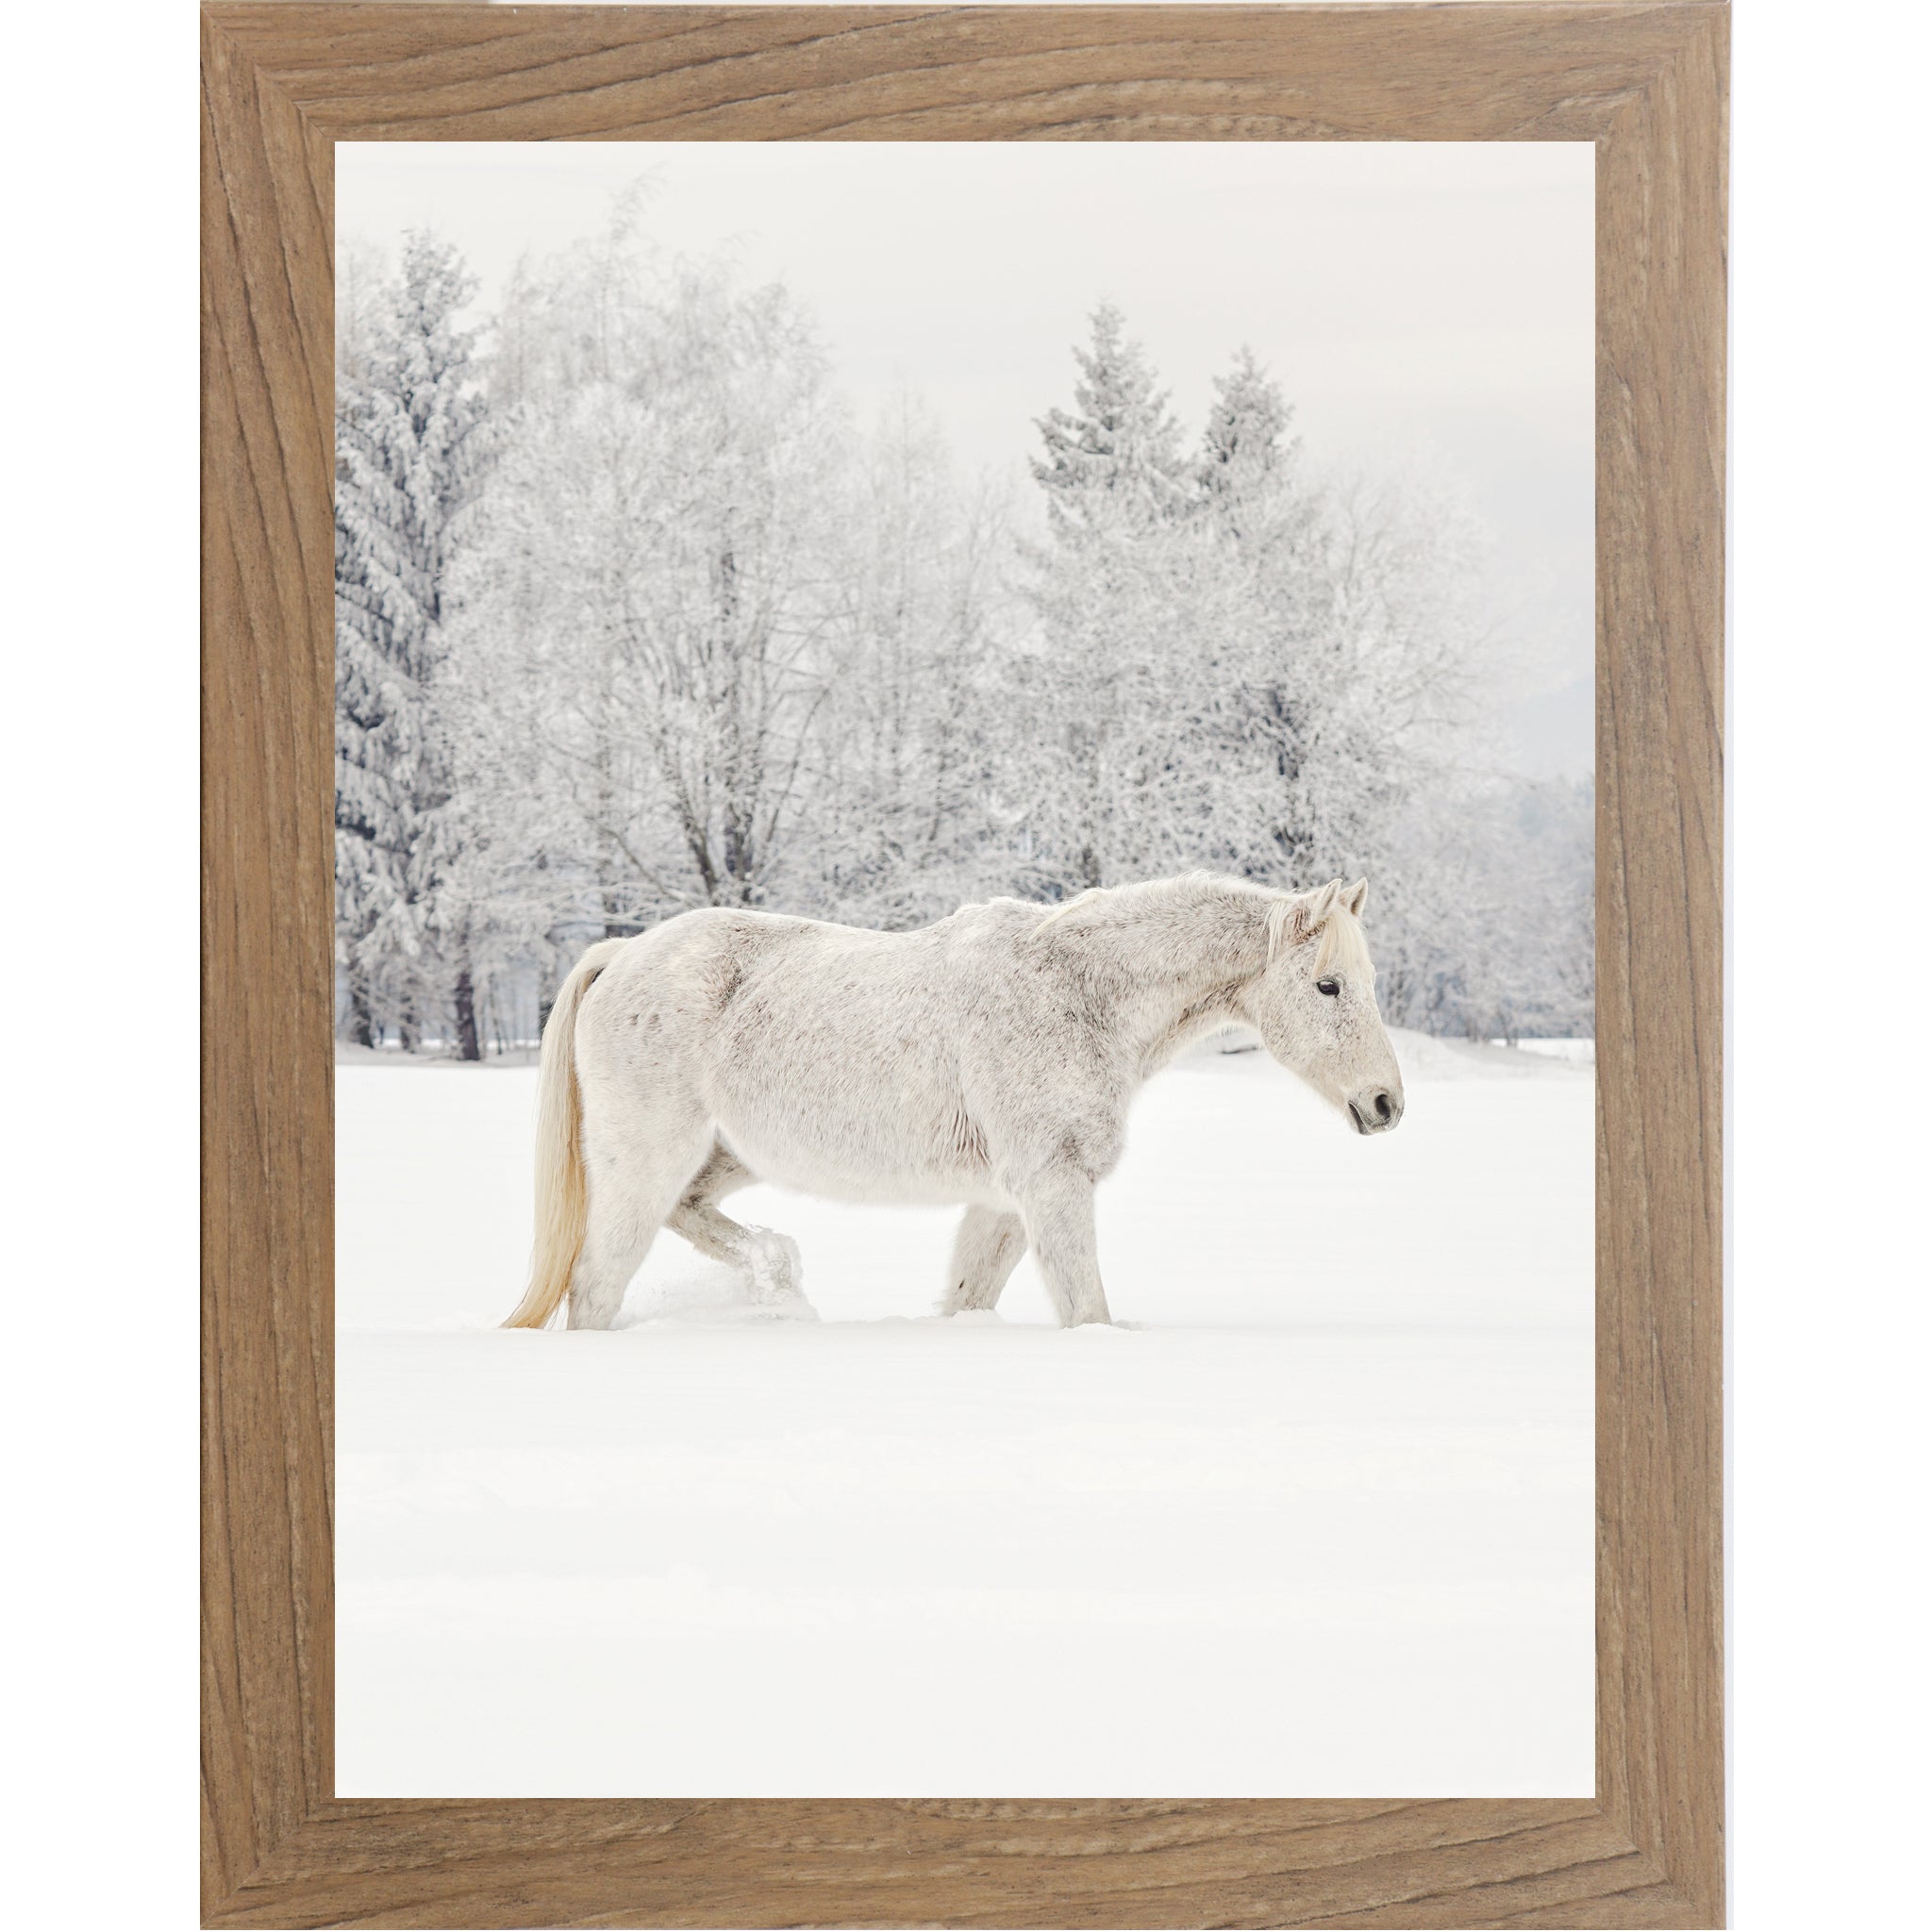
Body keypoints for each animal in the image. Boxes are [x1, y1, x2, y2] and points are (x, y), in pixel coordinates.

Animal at [500, 871, 1405, 1332]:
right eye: (1327, 985)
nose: (1386, 1103)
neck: (1077, 994)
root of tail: (622, 954)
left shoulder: (1003, 1202)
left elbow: (969, 1297)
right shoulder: (1051, 1187)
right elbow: (1088, 1310)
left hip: (723, 1156)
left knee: (690, 1218)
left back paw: (778, 1277)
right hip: (645, 1162)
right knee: (595, 1285)